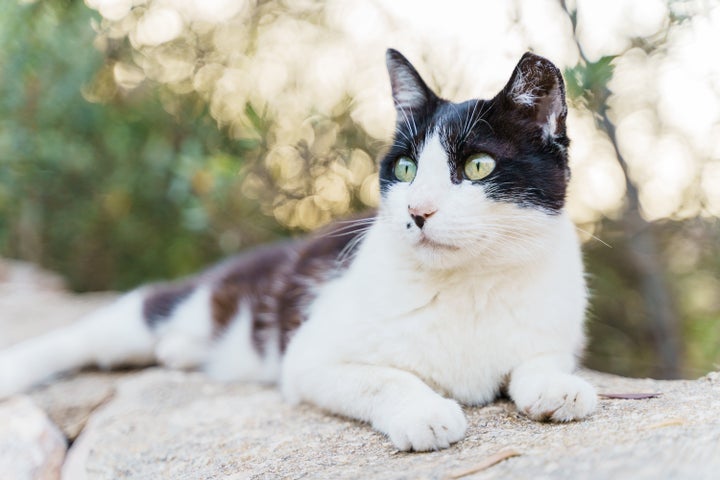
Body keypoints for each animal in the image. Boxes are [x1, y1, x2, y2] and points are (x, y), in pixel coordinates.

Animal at [0, 48, 596, 450]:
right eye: (405, 168)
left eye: (477, 166)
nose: (417, 210)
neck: (467, 284)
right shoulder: (310, 356)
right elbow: (383, 377)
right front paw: (425, 413)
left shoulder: (552, 326)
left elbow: (539, 359)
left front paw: (559, 388)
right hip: (184, 303)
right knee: (96, 330)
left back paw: (182, 351)